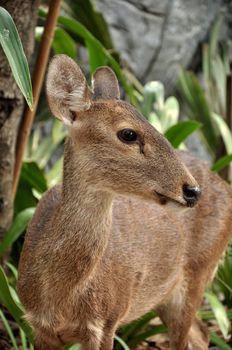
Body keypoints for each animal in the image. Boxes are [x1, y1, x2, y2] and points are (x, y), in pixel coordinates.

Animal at [17, 54, 232, 350]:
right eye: (128, 134)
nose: (192, 190)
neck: (62, 295)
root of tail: (225, 186)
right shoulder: (39, 327)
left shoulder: (107, 320)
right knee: (200, 333)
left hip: (199, 273)